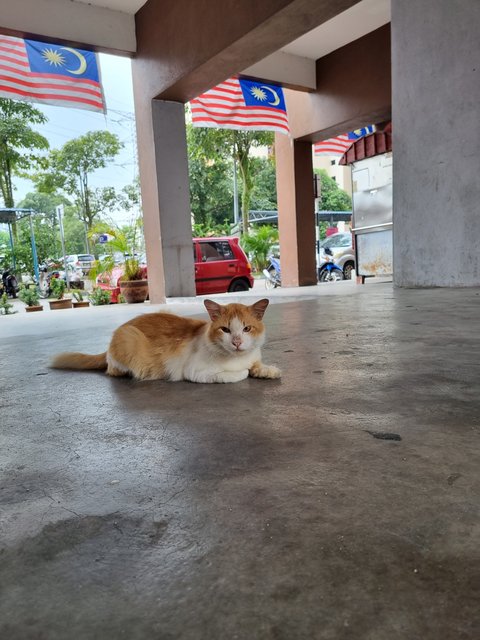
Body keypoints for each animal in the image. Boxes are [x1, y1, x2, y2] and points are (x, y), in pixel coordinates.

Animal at [49, 298, 282, 382]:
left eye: (246, 329)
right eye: (225, 330)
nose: (237, 342)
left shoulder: (254, 356)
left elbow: (258, 365)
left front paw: (268, 370)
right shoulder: (196, 372)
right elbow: (239, 374)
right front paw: (246, 372)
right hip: (129, 339)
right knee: (113, 370)